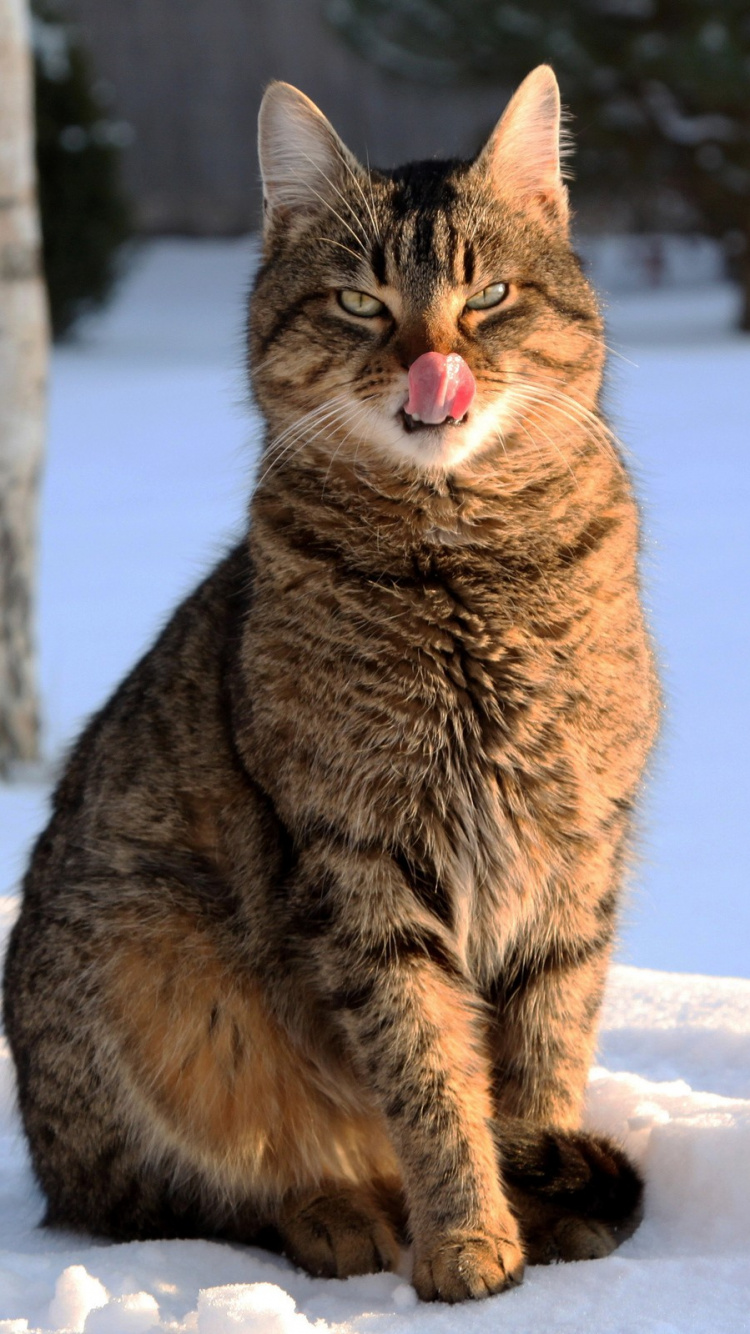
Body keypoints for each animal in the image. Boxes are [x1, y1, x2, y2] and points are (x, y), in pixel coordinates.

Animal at [1, 65, 653, 1301]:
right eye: (359, 302)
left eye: (489, 295)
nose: (431, 363)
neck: (464, 567)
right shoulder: (360, 860)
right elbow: (429, 1067)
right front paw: (467, 1236)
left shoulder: (573, 847)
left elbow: (545, 1046)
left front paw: (545, 1203)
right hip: (149, 963)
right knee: (176, 1195)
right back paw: (337, 1211)